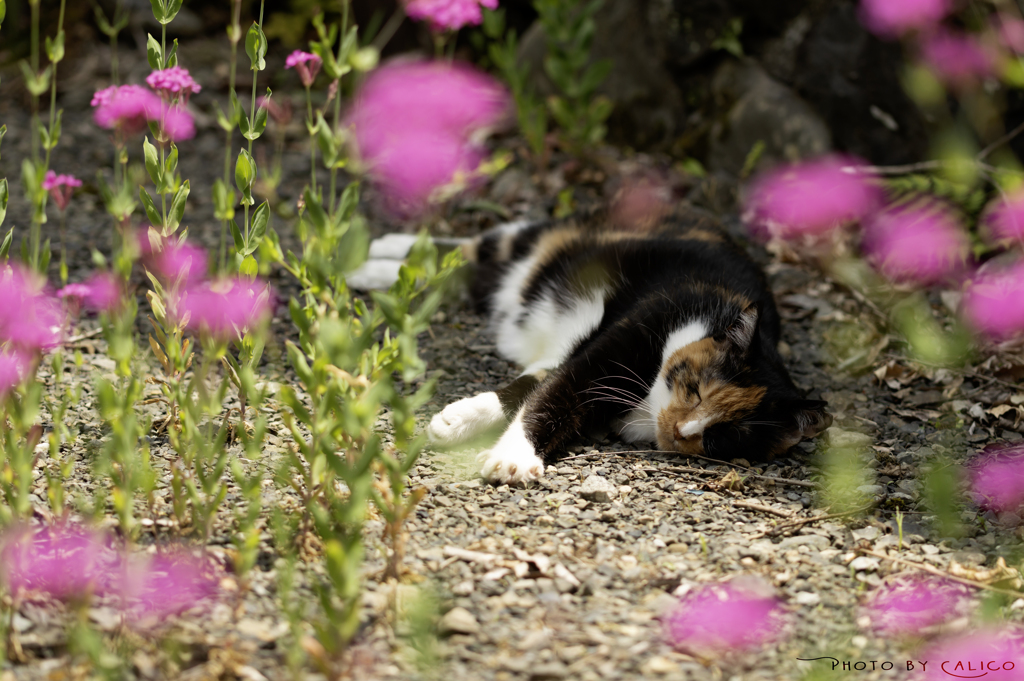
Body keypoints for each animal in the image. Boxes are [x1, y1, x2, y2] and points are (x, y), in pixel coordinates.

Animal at [352, 206, 831, 483]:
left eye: (724, 435)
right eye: (696, 390)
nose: (682, 430)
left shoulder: (571, 357)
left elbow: (534, 384)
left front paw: (464, 421)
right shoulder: (623, 340)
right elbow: (552, 395)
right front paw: (511, 455)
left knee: (466, 272)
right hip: (545, 242)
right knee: (475, 247)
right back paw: (380, 256)